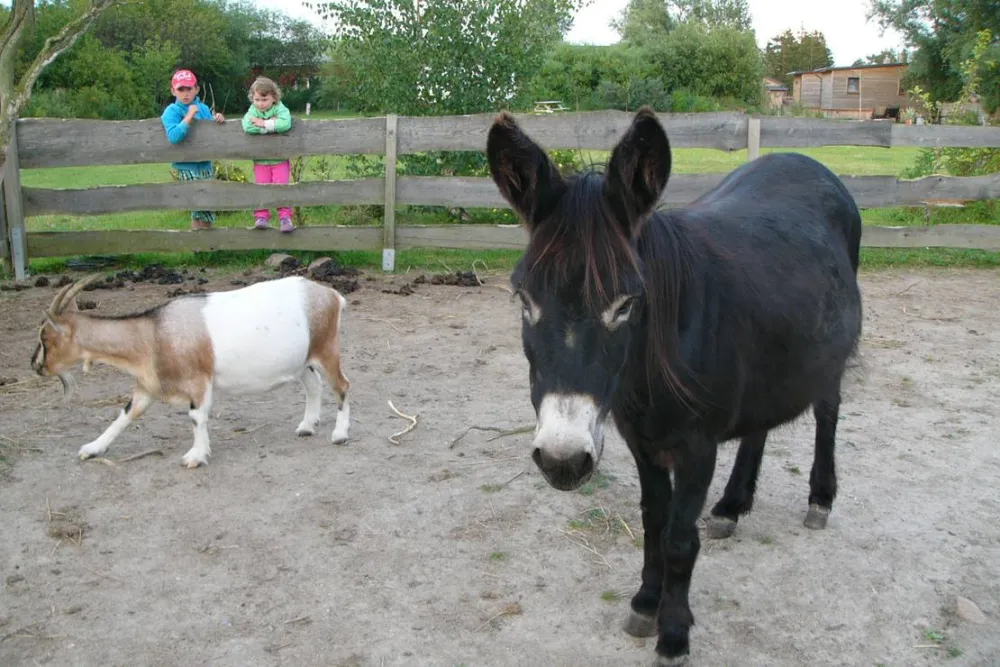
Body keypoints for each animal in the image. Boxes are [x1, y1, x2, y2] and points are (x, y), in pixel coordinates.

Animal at [485, 107, 863, 665]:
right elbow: (652, 522)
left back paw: (820, 498)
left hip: (828, 359)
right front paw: (646, 602)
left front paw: (674, 632)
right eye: (524, 298)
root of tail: (802, 158)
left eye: (626, 304)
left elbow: (681, 538)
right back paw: (731, 506)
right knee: (759, 426)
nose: (561, 460)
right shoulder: (641, 442)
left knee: (828, 411)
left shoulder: (697, 449)